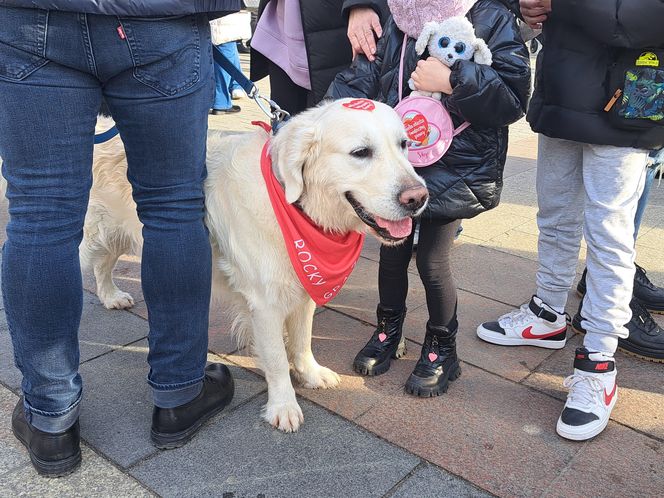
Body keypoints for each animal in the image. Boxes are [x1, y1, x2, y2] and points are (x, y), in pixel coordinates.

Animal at [80, 98, 430, 432]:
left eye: (404, 144)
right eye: (361, 152)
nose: (418, 198)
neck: (294, 207)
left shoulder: (303, 287)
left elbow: (302, 341)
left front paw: (311, 374)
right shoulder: (265, 303)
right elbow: (276, 358)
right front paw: (284, 406)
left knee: (103, 265)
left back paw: (112, 297)